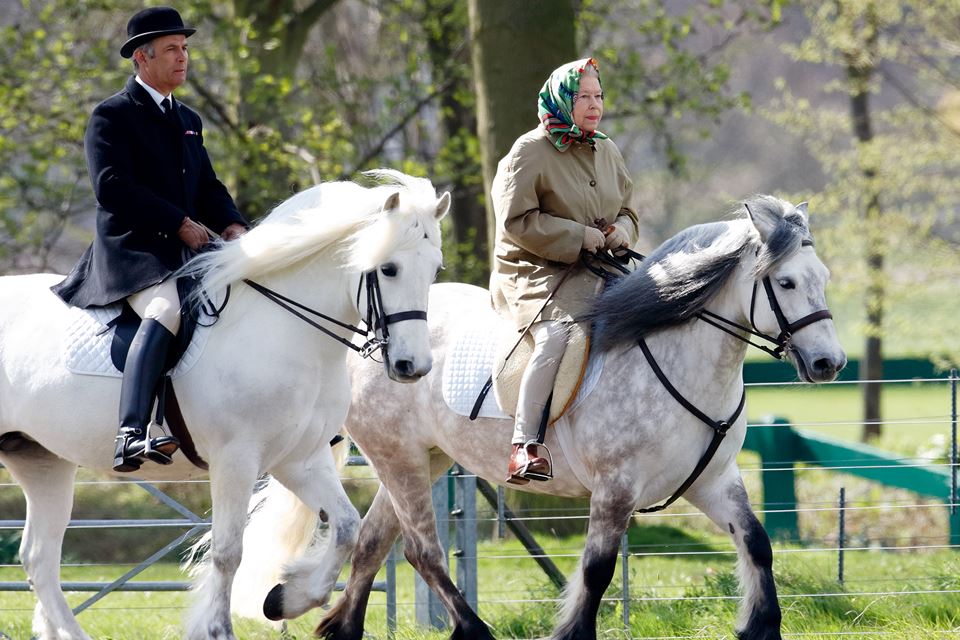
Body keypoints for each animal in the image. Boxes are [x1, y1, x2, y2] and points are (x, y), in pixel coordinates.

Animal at [0, 171, 452, 640]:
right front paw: (218, 628)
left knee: (39, 558)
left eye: (434, 268)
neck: (285, 329)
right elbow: (229, 551)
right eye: (388, 268)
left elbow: (348, 527)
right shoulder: (236, 460)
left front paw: (286, 597)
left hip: (41, 460)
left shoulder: (300, 459)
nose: (413, 366)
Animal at [238, 195, 848, 640]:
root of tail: (375, 336)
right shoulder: (617, 488)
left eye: (824, 277)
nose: (830, 363)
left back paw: (331, 622)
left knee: (374, 542)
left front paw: (761, 626)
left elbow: (757, 542)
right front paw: (573, 634)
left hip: (421, 460)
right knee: (422, 551)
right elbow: (598, 570)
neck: (676, 356)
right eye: (786, 283)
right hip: (399, 457)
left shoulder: (714, 481)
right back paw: (471, 631)